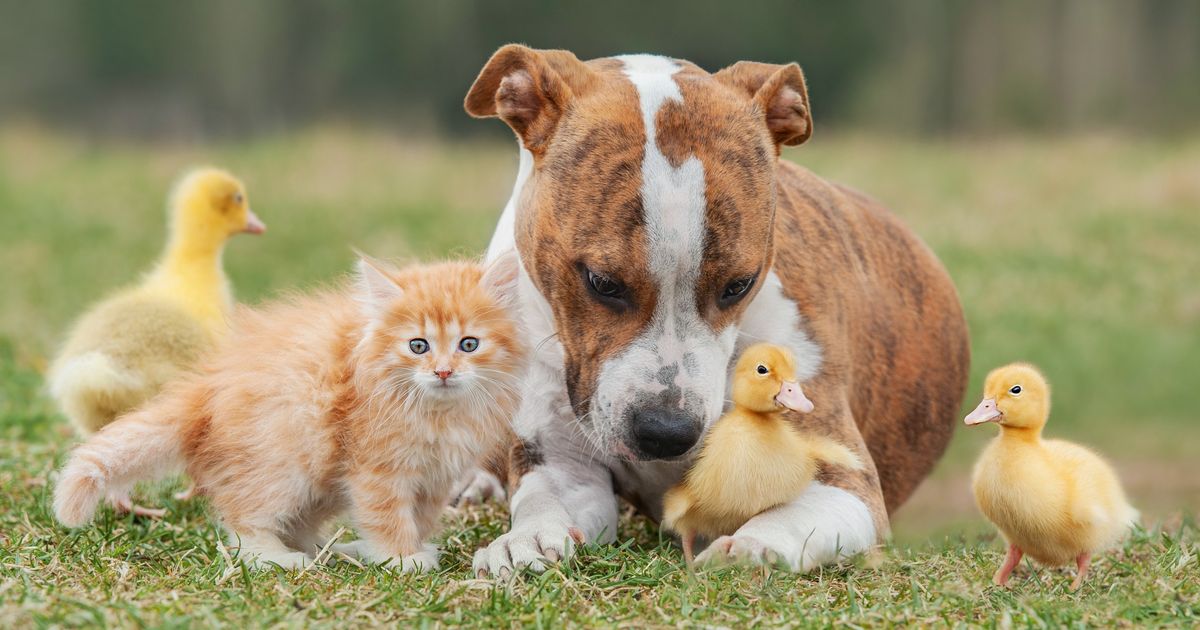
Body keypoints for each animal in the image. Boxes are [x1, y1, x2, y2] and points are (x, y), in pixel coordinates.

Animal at [56, 252, 525, 568]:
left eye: (469, 344)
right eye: (418, 346)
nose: (443, 371)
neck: (438, 411)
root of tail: (206, 386)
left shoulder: (435, 478)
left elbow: (421, 517)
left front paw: (406, 549)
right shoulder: (375, 468)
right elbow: (387, 515)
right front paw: (400, 558)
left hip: (318, 479)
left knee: (295, 523)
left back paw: (330, 550)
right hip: (283, 460)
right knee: (243, 522)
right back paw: (279, 558)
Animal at [453, 44, 969, 573]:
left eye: (738, 286)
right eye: (602, 283)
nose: (666, 433)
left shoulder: (844, 478)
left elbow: (789, 516)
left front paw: (751, 545)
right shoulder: (561, 460)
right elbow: (544, 501)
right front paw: (527, 540)